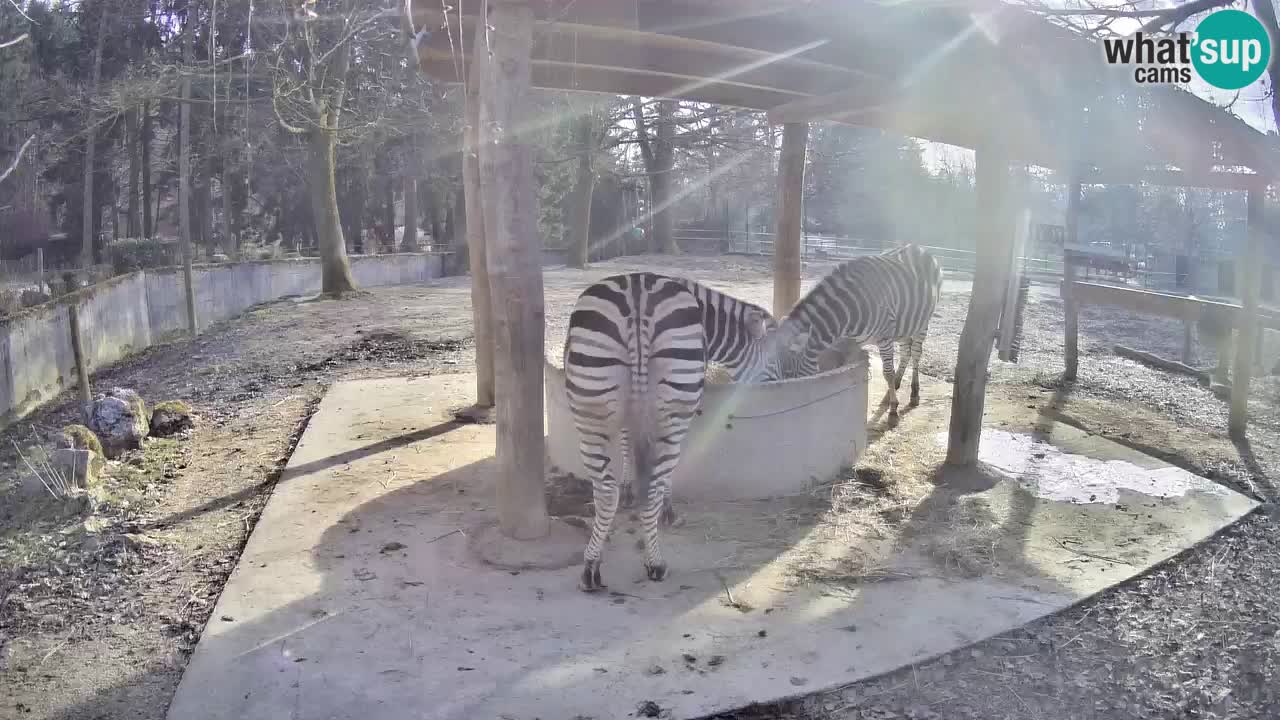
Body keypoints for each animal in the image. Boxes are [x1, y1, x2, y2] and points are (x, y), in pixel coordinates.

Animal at [565, 270, 773, 589]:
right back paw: (655, 563)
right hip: (673, 410)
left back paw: (591, 566)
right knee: (650, 486)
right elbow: (663, 472)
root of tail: (636, 295)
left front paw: (628, 487)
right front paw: (667, 508)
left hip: (590, 406)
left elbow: (626, 442)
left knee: (605, 492)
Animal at [757, 243, 942, 417]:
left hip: (923, 322)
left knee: (916, 353)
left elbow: (887, 372)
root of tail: (917, 247)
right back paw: (895, 386)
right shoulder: (849, 342)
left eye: (788, 372)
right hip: (905, 324)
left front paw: (893, 407)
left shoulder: (884, 337)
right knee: (906, 352)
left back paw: (914, 393)